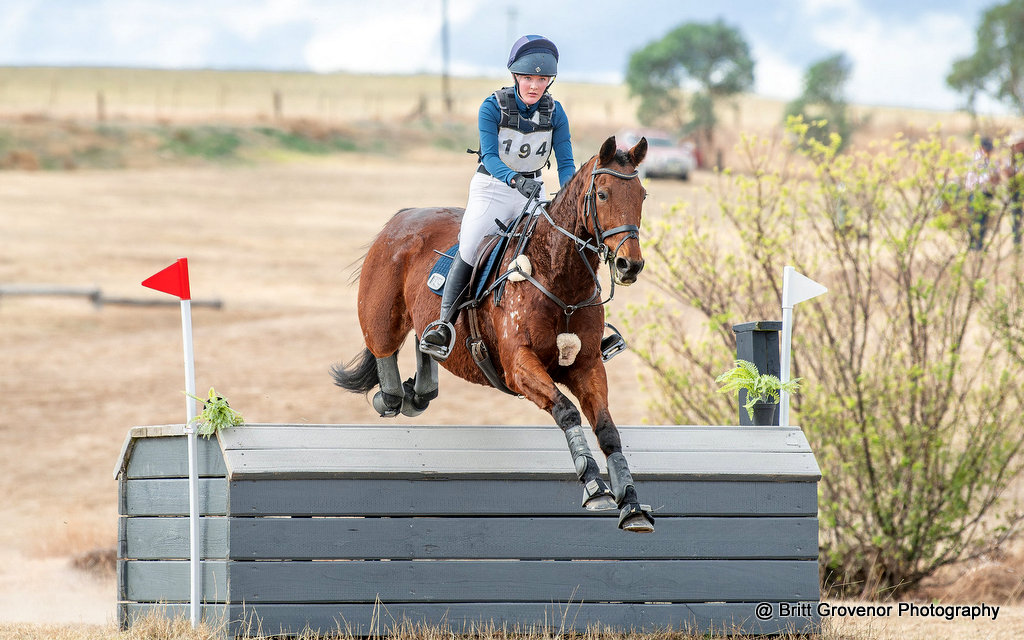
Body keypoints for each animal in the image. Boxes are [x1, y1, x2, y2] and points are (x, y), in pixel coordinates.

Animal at [332, 136, 654, 532]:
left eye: (642, 195)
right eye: (604, 194)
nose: (630, 265)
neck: (560, 280)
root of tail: (403, 217)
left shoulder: (588, 365)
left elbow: (608, 429)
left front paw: (632, 503)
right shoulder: (519, 366)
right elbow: (566, 412)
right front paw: (595, 487)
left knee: (423, 351)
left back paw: (420, 385)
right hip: (380, 317)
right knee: (386, 360)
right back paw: (392, 395)